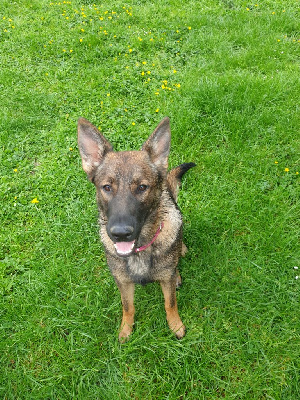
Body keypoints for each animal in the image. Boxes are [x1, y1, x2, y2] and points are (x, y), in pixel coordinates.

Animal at [77, 116, 195, 340]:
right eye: (107, 187)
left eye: (142, 187)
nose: (121, 234)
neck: (140, 249)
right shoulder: (123, 282)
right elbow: (128, 307)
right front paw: (126, 329)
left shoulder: (165, 282)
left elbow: (170, 304)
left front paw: (175, 325)